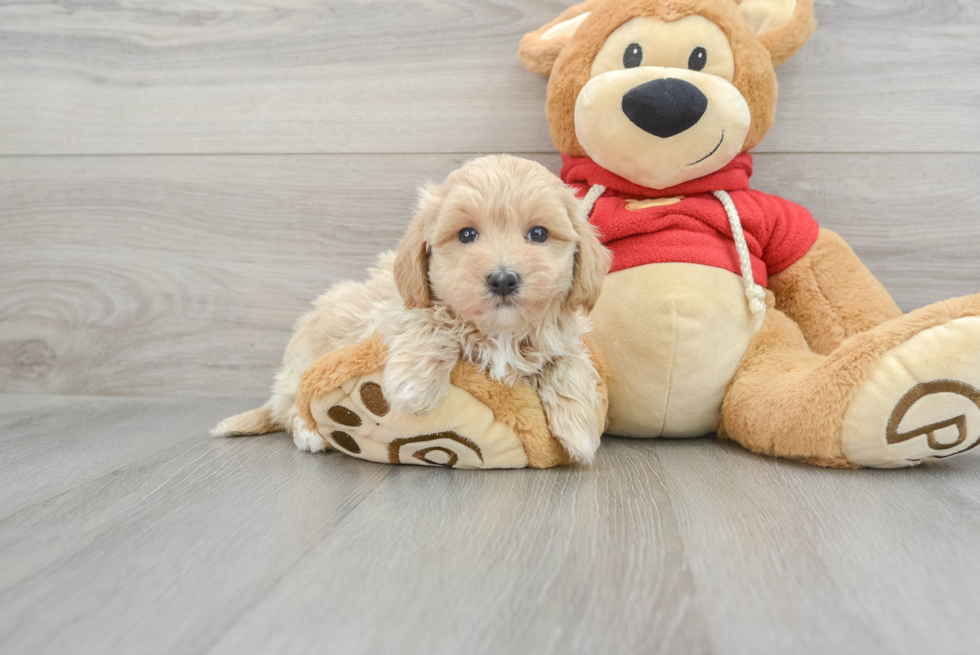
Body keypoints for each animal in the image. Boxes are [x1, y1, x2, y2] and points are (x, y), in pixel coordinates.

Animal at [215, 154, 612, 464]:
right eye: (467, 235)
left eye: (539, 234)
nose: (503, 279)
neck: (500, 332)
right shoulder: (395, 310)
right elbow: (429, 323)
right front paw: (413, 387)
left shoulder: (562, 335)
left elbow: (568, 363)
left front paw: (579, 428)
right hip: (304, 360)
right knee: (295, 405)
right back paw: (310, 434)